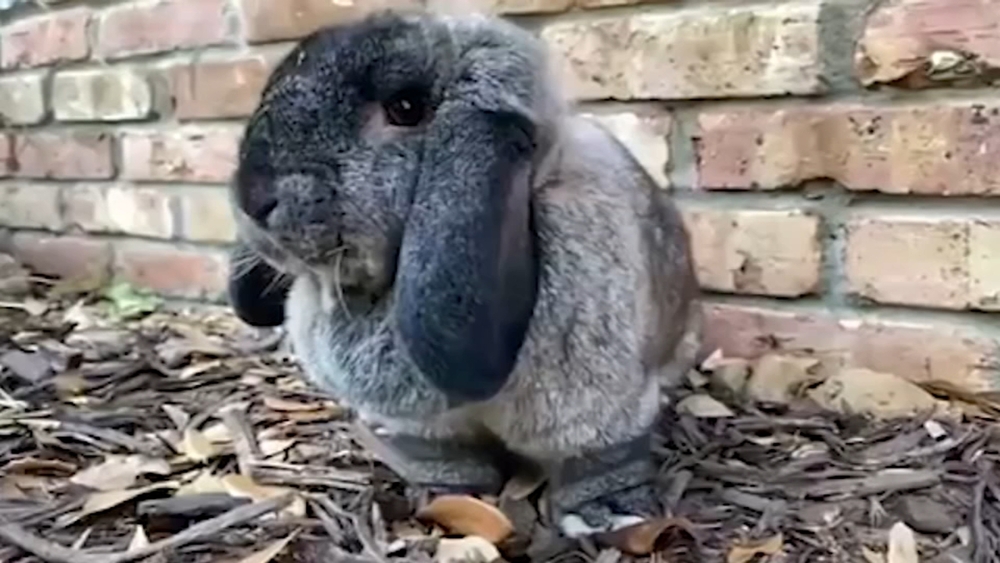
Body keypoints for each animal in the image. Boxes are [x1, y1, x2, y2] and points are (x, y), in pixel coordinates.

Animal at [225, 8, 701, 538]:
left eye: (406, 107)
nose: (252, 198)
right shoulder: (426, 431)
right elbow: (449, 462)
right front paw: (445, 497)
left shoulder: (595, 409)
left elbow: (603, 458)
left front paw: (607, 512)